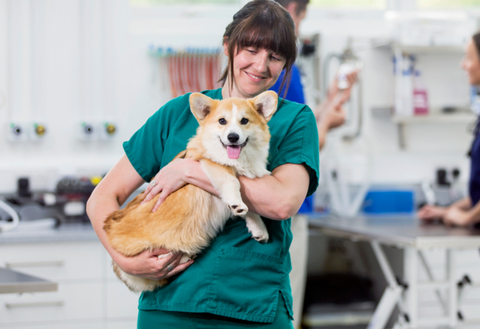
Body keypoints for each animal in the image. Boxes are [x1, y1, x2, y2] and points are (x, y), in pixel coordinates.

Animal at [103, 89, 280, 292]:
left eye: (244, 121)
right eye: (222, 121)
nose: (233, 137)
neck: (241, 159)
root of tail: (108, 227)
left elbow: (250, 209)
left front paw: (258, 228)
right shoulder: (210, 163)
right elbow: (232, 181)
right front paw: (237, 203)